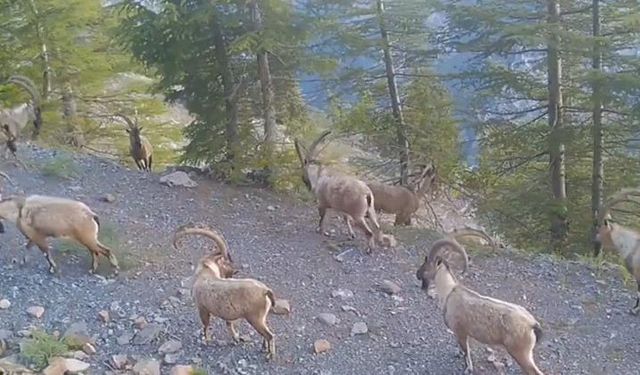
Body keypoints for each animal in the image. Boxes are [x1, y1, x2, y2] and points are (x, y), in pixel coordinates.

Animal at [172, 225, 278, 360]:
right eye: (225, 262)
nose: (235, 271)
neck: (205, 273)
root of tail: (265, 291)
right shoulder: (227, 315)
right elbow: (229, 324)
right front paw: (235, 338)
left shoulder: (203, 309)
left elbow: (206, 325)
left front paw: (207, 341)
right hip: (261, 318)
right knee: (266, 334)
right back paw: (263, 348)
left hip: (255, 318)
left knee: (270, 335)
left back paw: (270, 355)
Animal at [416, 258, 544, 375]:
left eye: (426, 265)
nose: (417, 274)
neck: (449, 293)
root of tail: (532, 324)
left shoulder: (461, 332)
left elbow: (466, 351)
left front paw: (468, 369)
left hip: (520, 352)